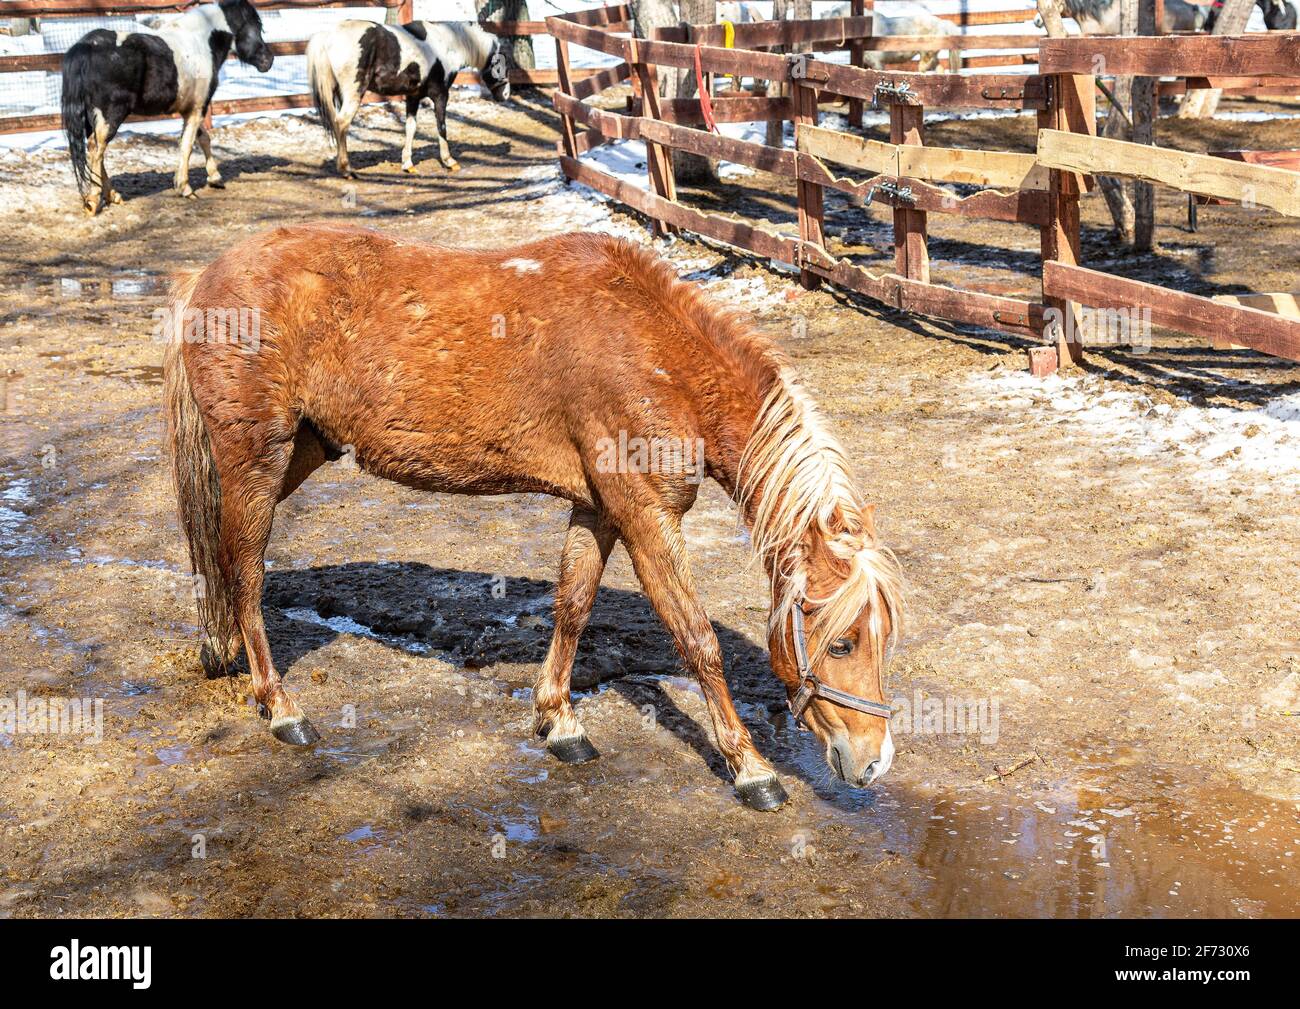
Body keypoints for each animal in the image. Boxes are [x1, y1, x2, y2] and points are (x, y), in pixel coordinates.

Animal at [60, 0, 274, 215]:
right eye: (255, 25)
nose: (268, 60)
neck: (200, 42)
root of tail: (86, 47)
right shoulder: (198, 109)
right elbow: (187, 145)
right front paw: (185, 188)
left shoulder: (191, 109)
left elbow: (203, 138)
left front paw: (215, 178)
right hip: (111, 114)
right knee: (97, 148)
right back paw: (93, 200)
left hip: (91, 117)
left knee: (95, 149)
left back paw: (113, 195)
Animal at [162, 225, 905, 811]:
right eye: (842, 643)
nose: (874, 760)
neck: (655, 352)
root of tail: (205, 276)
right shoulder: (646, 516)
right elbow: (696, 638)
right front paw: (750, 768)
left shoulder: (599, 509)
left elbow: (572, 606)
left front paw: (559, 722)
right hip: (257, 459)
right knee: (245, 570)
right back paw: (280, 708)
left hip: (297, 452)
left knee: (221, 558)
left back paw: (221, 649)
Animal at [306, 20, 510, 177]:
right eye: (502, 65)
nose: (505, 95)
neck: (446, 45)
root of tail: (329, 36)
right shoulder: (441, 95)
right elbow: (441, 126)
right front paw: (449, 161)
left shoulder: (413, 96)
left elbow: (410, 128)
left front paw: (407, 164)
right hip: (354, 94)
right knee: (341, 123)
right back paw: (346, 169)